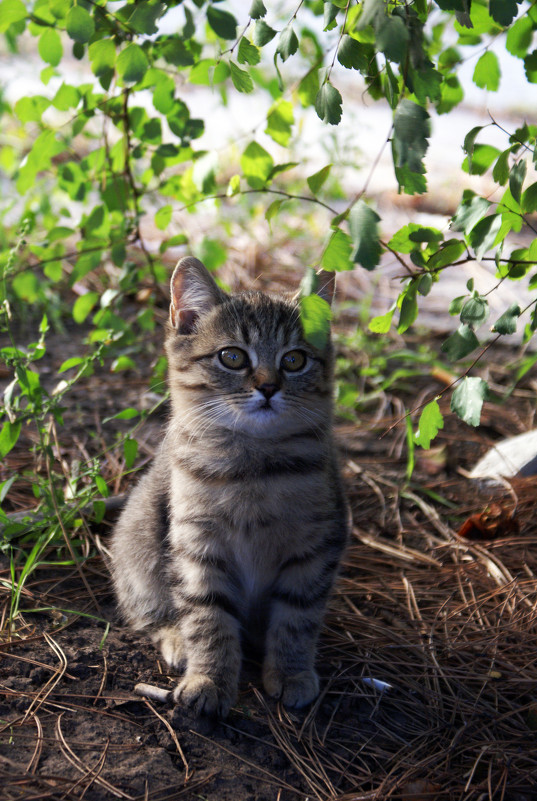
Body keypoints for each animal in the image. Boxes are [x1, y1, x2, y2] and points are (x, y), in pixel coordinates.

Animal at [111, 260, 350, 716]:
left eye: (294, 360)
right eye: (233, 356)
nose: (269, 386)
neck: (252, 468)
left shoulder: (315, 545)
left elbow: (297, 618)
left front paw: (291, 672)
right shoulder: (196, 544)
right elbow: (208, 618)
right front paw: (209, 679)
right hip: (137, 546)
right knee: (150, 614)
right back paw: (177, 641)